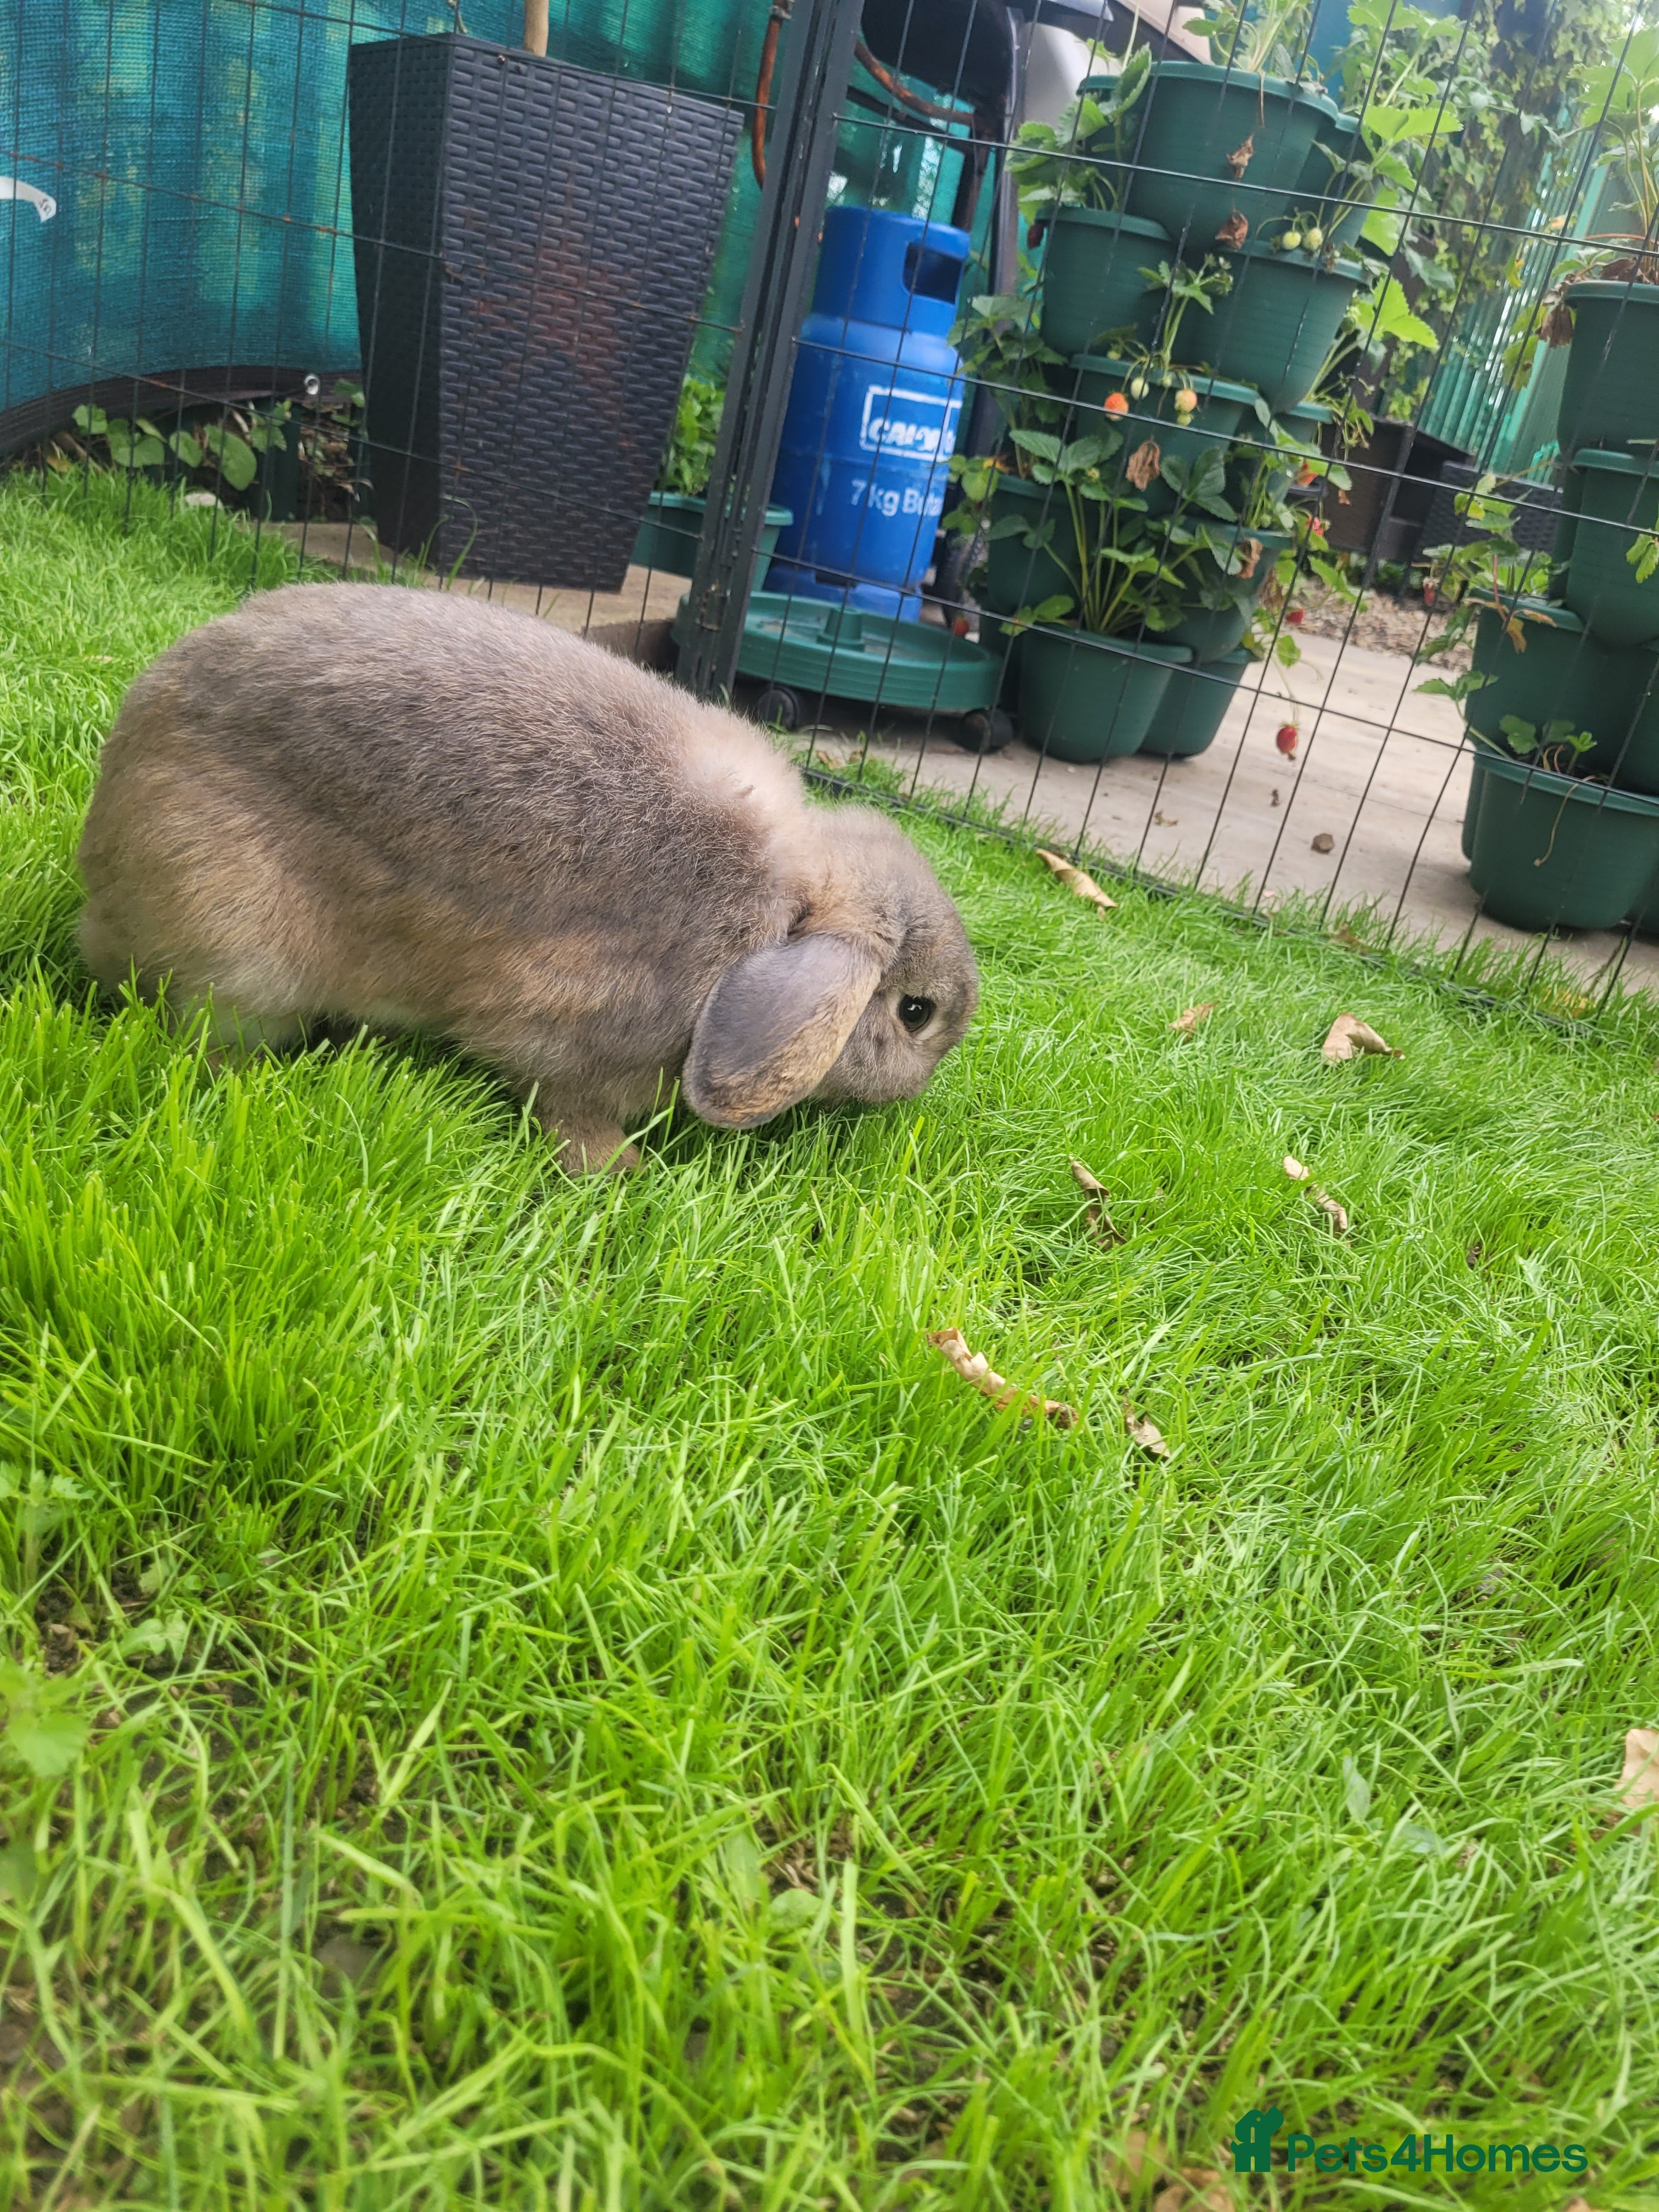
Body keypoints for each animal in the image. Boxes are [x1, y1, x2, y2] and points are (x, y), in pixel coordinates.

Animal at [77, 583, 979, 1173]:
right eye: (916, 1013)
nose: (923, 1086)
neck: (785, 911)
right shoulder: (570, 1035)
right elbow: (566, 1106)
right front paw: (622, 1174)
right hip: (240, 957)